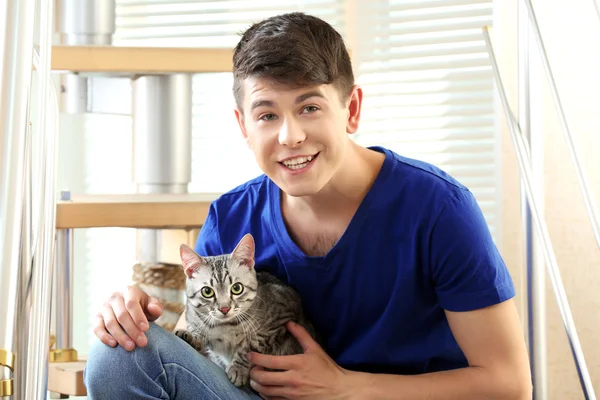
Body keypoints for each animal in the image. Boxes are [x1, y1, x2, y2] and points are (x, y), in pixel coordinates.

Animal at [173, 234, 316, 388]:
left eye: (237, 288)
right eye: (207, 291)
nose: (224, 308)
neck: (224, 327)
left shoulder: (281, 319)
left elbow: (250, 347)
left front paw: (239, 368)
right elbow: (200, 335)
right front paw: (189, 336)